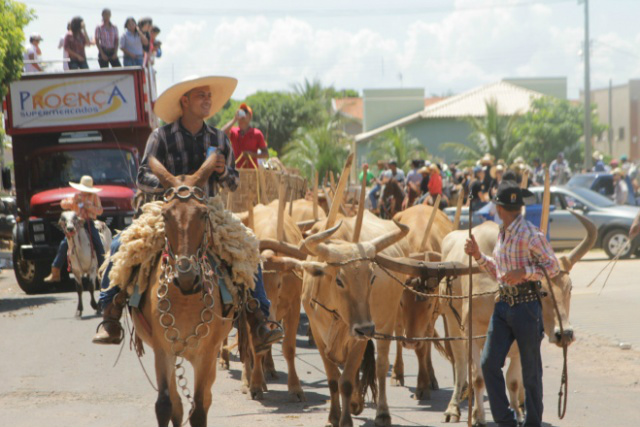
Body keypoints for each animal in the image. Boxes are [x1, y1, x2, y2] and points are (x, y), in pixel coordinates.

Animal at [131, 156, 236, 427]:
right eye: (166, 215)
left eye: (203, 213)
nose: (186, 277)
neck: (185, 298)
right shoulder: (162, 350)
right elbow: (165, 405)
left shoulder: (206, 354)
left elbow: (199, 409)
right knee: (177, 404)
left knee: (204, 399)